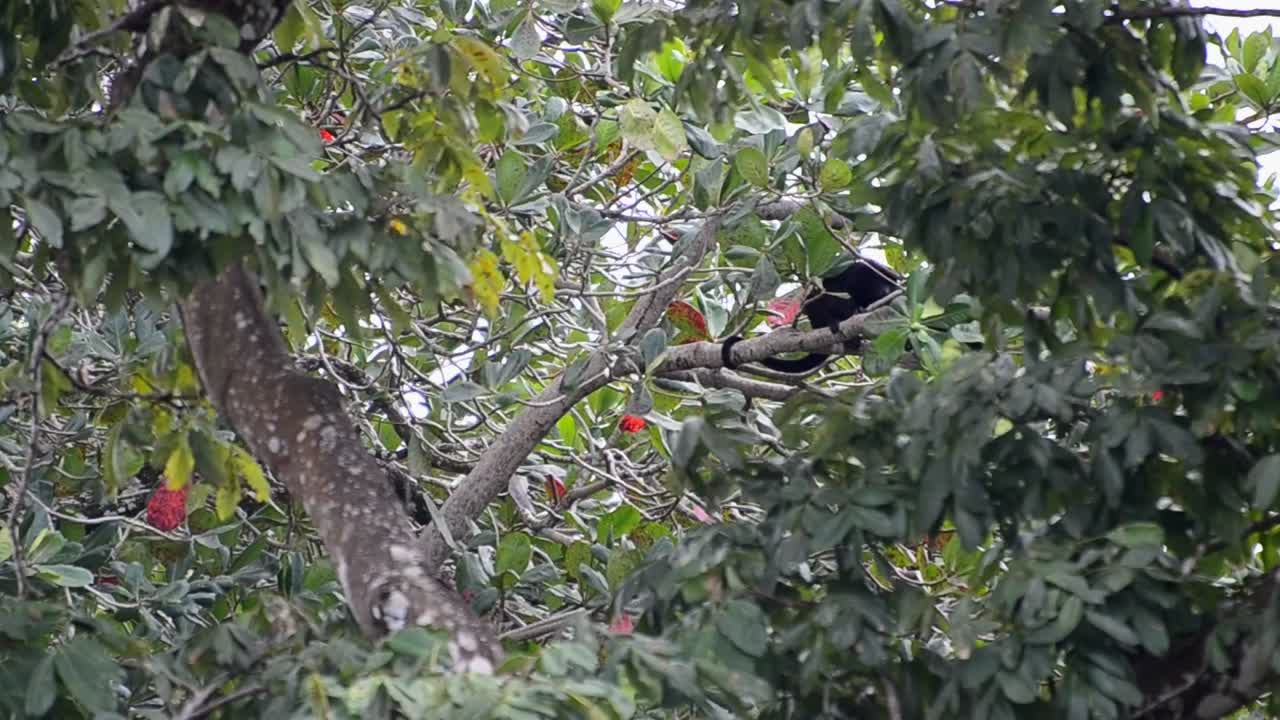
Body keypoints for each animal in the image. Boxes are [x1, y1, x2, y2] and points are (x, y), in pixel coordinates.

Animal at [720, 256, 902, 374]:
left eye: (889, 285)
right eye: (882, 283)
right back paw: (837, 322)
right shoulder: (859, 274)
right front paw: (852, 310)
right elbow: (838, 292)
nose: (887, 290)